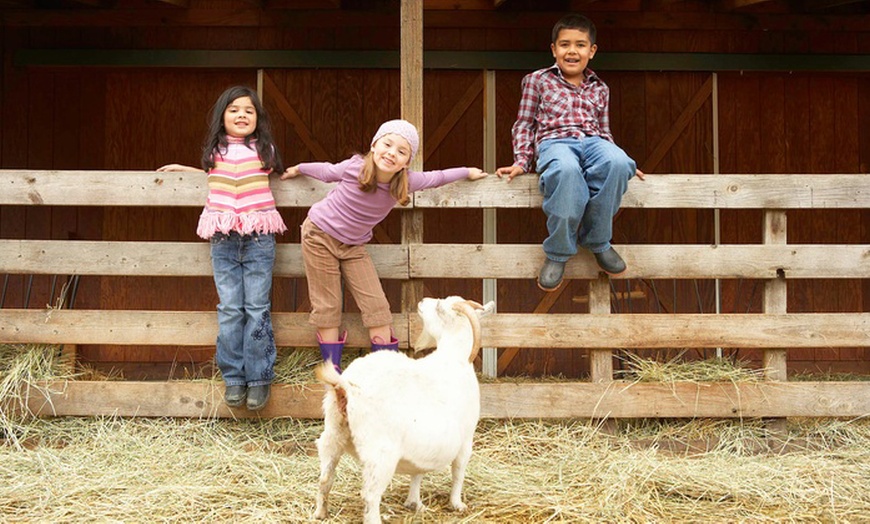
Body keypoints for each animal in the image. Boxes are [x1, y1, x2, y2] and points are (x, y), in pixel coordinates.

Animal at [314, 296, 494, 520]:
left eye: (438, 307)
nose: (423, 301)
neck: (453, 358)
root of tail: (346, 386)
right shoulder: (466, 440)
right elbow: (458, 471)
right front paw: (457, 504)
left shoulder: (422, 447)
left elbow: (417, 472)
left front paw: (414, 503)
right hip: (380, 453)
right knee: (370, 494)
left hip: (333, 434)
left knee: (325, 478)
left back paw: (320, 513)